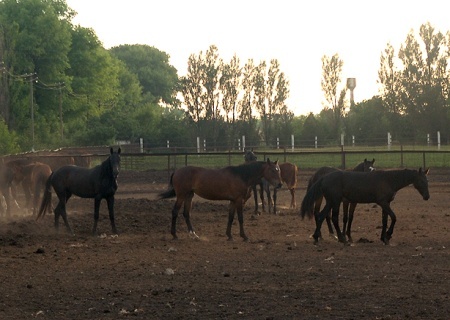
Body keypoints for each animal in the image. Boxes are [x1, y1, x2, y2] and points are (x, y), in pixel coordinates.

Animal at [298, 168, 428, 245]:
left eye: (427, 181)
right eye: (422, 181)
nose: (427, 196)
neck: (388, 180)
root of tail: (323, 177)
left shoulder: (386, 204)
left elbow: (385, 220)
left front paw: (384, 238)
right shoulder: (383, 203)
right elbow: (394, 218)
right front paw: (388, 235)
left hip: (331, 202)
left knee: (321, 216)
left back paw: (317, 237)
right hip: (334, 201)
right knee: (332, 217)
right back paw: (342, 239)